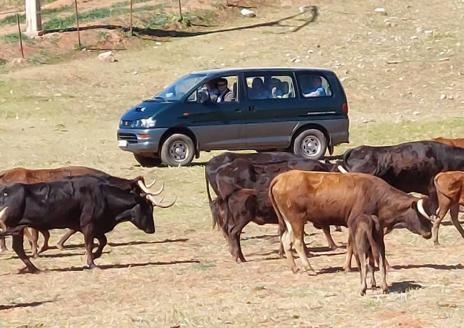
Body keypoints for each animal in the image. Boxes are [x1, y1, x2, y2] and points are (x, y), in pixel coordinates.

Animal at [0, 176, 173, 272]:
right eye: (147, 208)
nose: (152, 229)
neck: (102, 196)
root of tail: (5, 192)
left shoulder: (92, 227)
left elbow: (103, 241)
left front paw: (95, 256)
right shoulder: (88, 225)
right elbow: (89, 244)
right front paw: (92, 263)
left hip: (18, 229)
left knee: (18, 248)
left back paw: (33, 268)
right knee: (18, 248)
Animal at [270, 170, 434, 276]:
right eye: (420, 215)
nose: (429, 233)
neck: (378, 196)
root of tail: (280, 178)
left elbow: (350, 245)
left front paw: (347, 267)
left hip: (289, 221)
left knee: (286, 240)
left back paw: (294, 268)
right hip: (297, 219)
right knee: (297, 242)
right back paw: (309, 268)